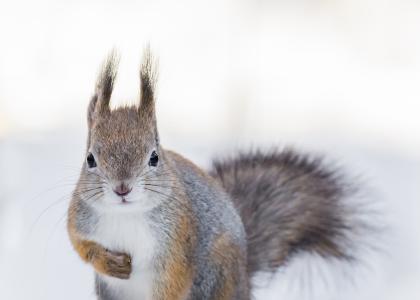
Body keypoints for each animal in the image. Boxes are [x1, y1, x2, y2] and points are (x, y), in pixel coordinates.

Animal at [67, 49, 370, 300]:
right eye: (90, 159)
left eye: (154, 157)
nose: (122, 188)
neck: (126, 214)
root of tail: (244, 282)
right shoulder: (80, 217)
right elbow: (79, 243)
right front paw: (109, 262)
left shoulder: (178, 241)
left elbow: (174, 280)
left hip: (219, 275)